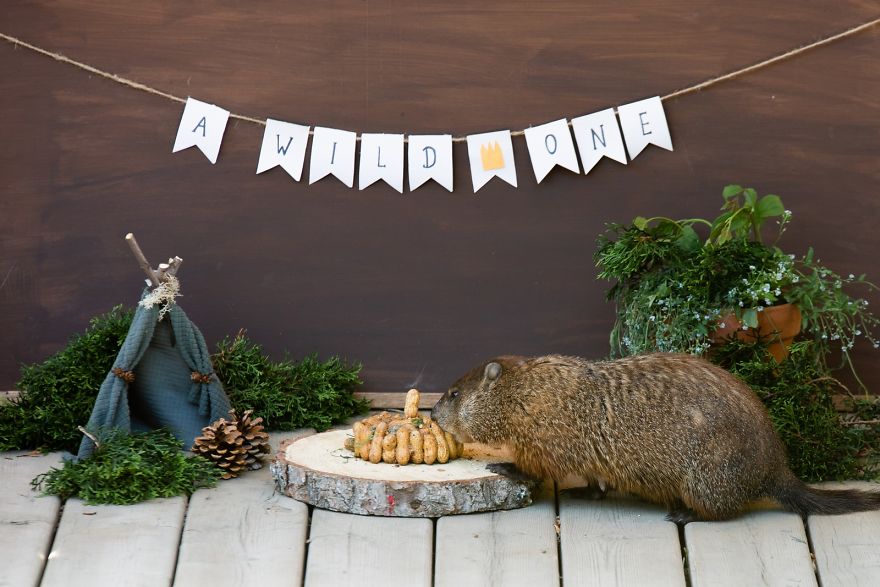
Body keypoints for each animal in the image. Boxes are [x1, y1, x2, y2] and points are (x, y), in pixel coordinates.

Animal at [431, 352, 880, 522]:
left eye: (453, 394)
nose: (432, 413)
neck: (520, 389)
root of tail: (776, 468)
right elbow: (593, 476)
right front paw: (588, 489)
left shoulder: (543, 428)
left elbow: (540, 463)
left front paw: (506, 465)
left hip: (711, 471)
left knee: (722, 509)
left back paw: (687, 514)